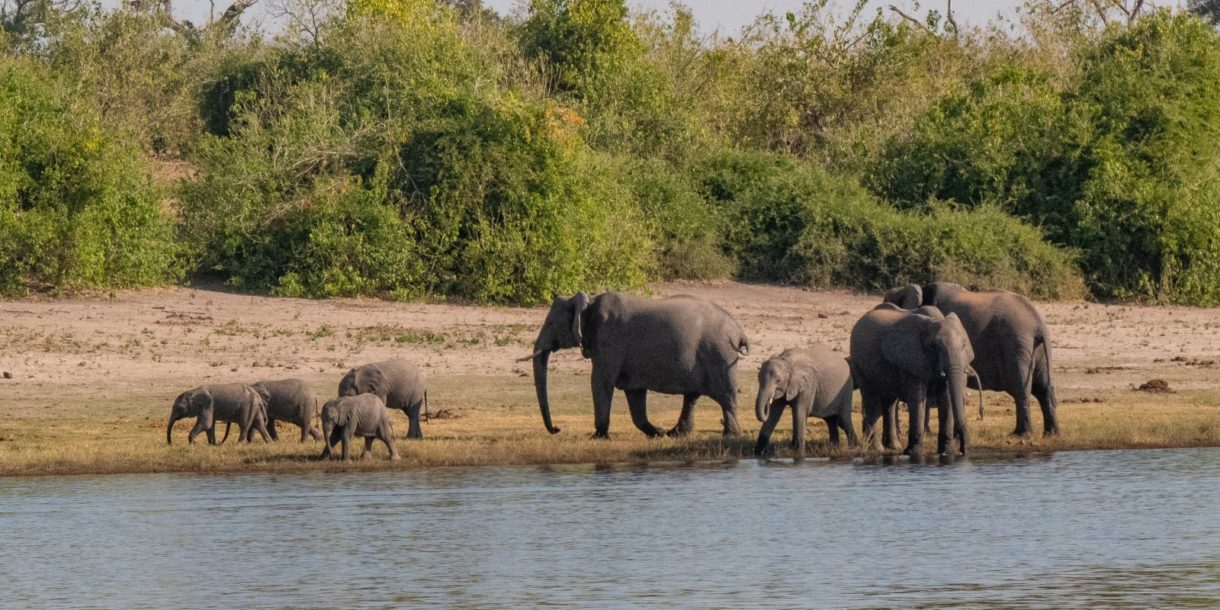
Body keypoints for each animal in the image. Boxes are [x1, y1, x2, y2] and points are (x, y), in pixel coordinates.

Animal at [527, 291, 751, 439]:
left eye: (550, 324)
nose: (557, 429)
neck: (588, 303)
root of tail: (739, 331)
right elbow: (634, 393)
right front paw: (658, 433)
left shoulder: (609, 341)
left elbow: (600, 382)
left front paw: (598, 437)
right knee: (692, 396)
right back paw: (675, 434)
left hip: (719, 355)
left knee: (725, 396)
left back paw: (730, 435)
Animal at [849, 302, 971, 456]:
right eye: (934, 346)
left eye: (964, 345)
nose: (963, 451)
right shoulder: (910, 358)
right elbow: (916, 397)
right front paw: (915, 453)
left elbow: (946, 397)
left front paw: (947, 453)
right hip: (859, 361)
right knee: (872, 400)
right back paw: (877, 449)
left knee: (889, 403)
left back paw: (894, 447)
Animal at [888, 283, 1058, 436]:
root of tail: (1038, 322)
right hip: (1035, 349)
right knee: (1043, 388)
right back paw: (1051, 433)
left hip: (1016, 344)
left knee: (1022, 389)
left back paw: (1021, 435)